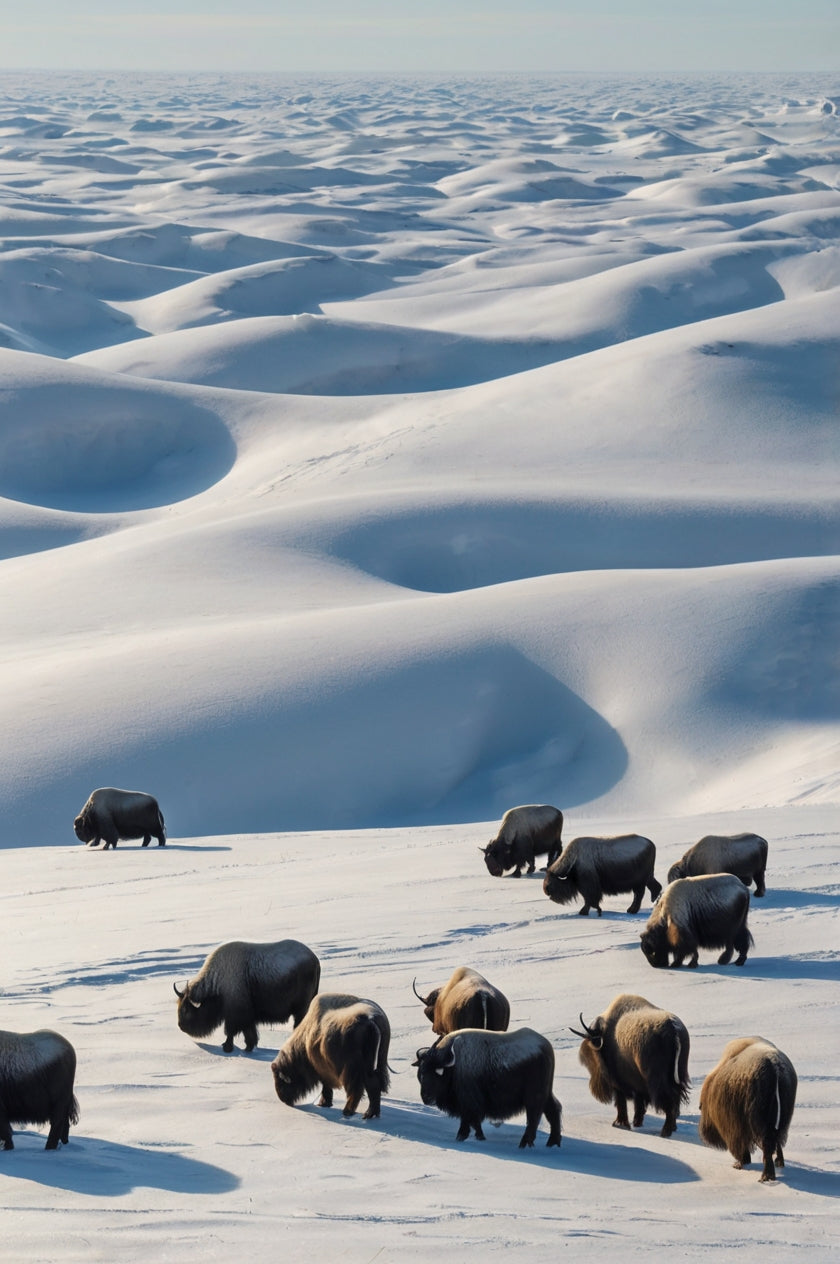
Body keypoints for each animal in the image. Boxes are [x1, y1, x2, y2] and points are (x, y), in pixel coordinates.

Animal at [175, 939, 320, 1053]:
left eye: (186, 1009)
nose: (181, 1026)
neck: (217, 982)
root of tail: (315, 960)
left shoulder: (235, 1015)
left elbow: (231, 1031)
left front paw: (227, 1047)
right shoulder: (247, 1017)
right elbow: (249, 1032)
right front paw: (248, 1047)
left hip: (301, 1009)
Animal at [413, 1027, 562, 1148]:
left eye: (436, 1073)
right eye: (421, 1073)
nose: (426, 1098)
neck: (453, 1067)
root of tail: (546, 1046)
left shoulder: (468, 1101)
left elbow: (469, 1120)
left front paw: (463, 1136)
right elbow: (473, 1122)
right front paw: (477, 1137)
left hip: (534, 1097)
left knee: (533, 1118)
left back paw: (524, 1144)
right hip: (546, 1093)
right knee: (553, 1110)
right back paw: (552, 1143)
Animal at [571, 993, 690, 1137]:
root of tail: (673, 1029)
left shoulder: (619, 1083)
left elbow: (622, 1102)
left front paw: (620, 1124)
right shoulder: (637, 1085)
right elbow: (638, 1104)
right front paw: (636, 1123)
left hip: (658, 1081)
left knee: (669, 1100)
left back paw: (665, 1131)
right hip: (679, 1075)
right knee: (675, 1098)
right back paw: (672, 1128)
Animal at [699, 1037, 797, 1182]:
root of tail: (775, 1070)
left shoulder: (734, 1127)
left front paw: (739, 1163)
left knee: (767, 1145)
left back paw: (765, 1175)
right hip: (782, 1119)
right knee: (776, 1141)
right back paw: (777, 1164)